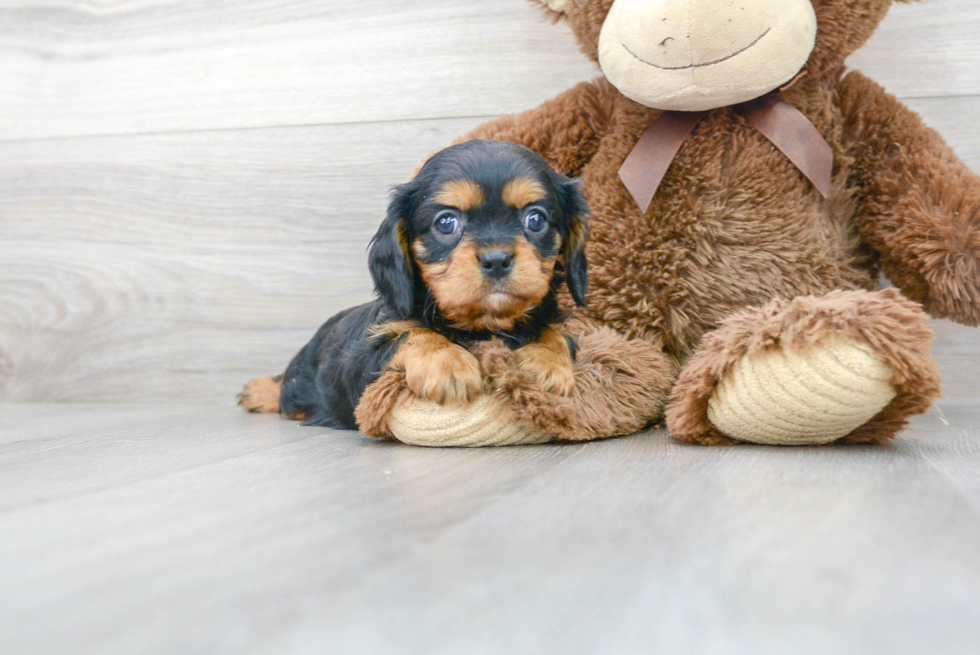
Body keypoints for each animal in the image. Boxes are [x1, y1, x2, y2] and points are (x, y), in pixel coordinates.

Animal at [237, 140, 588, 428]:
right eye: (446, 223)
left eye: (536, 219)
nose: (497, 259)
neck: (482, 325)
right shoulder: (362, 371)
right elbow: (412, 333)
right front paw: (448, 364)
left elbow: (557, 333)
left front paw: (544, 364)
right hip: (303, 381)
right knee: (288, 389)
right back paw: (257, 391)